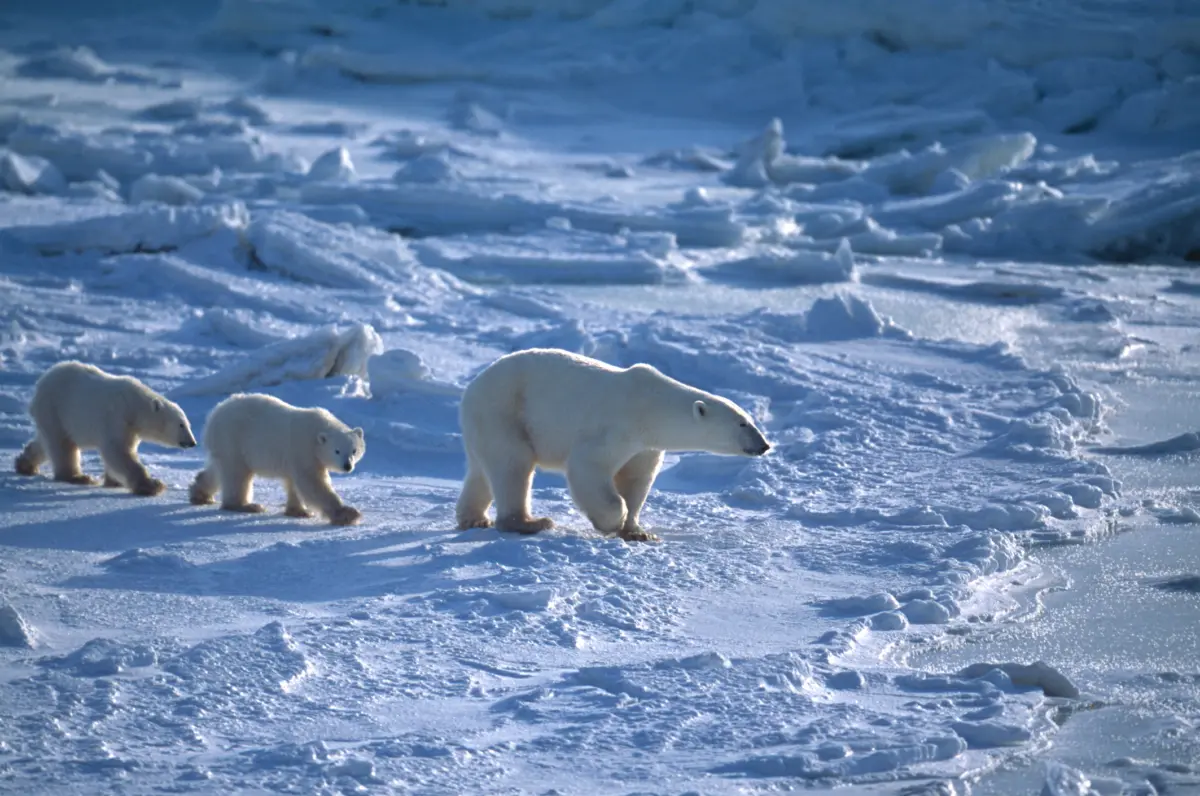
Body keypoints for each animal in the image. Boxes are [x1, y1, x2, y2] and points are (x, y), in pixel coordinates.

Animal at [14, 360, 197, 496]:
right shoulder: (116, 418)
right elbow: (118, 452)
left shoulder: (130, 429)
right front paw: (152, 485)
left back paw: (25, 465)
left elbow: (122, 451)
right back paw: (78, 477)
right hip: (55, 408)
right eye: (181, 424)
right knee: (63, 446)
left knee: (45, 441)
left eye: (188, 424)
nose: (192, 442)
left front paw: (114, 481)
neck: (134, 405)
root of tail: (40, 383)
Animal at [188, 393, 365, 526]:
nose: (347, 466)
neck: (317, 431)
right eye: (337, 451)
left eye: (354, 450)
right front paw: (347, 514)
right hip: (233, 439)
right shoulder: (304, 449)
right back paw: (247, 506)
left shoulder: (298, 456)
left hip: (224, 445)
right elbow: (312, 482)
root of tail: (214, 414)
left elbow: (294, 482)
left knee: (218, 470)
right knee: (237, 474)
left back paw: (200, 495)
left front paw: (299, 511)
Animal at [455, 348, 771, 542]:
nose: (764, 445)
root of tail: (472, 388)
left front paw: (639, 532)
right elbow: (588, 467)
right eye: (743, 424)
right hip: (505, 411)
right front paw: (611, 522)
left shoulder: (645, 445)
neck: (650, 406)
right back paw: (530, 522)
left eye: (750, 420)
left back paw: (474, 519)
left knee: (482, 470)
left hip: (487, 423)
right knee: (513, 465)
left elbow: (636, 480)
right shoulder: (616, 427)